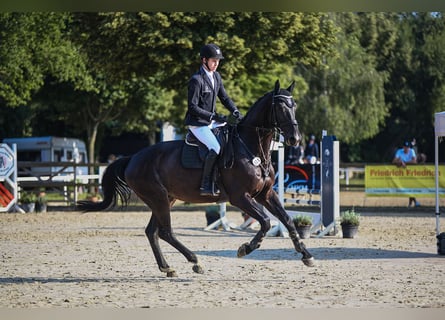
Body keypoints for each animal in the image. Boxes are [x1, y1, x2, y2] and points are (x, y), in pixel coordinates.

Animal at [79, 80, 316, 278]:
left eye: (294, 106)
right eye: (281, 107)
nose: (295, 139)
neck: (250, 148)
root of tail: (133, 158)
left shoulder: (266, 194)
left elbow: (287, 220)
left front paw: (306, 255)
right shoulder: (240, 197)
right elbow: (266, 222)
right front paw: (246, 248)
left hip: (166, 199)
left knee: (152, 232)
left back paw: (167, 268)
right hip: (158, 198)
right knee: (165, 232)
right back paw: (195, 261)